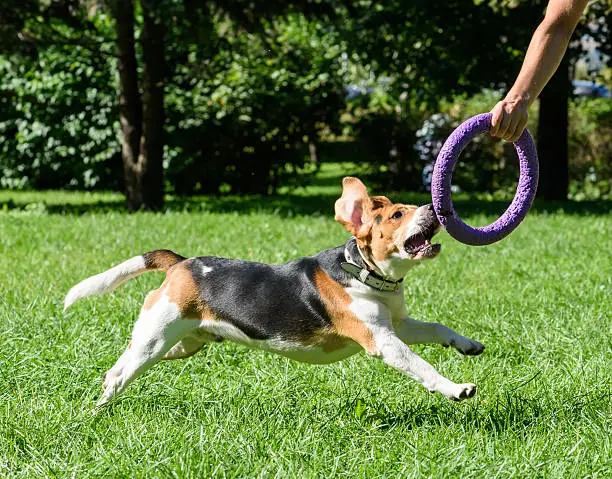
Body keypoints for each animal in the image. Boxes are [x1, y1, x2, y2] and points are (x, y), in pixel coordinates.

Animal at [64, 178, 486, 406]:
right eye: (398, 214)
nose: (434, 206)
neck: (365, 275)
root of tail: (181, 263)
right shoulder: (383, 341)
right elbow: (424, 367)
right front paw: (456, 388)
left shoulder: (398, 325)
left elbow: (436, 327)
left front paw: (467, 344)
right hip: (156, 336)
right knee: (117, 374)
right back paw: (98, 412)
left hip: (181, 345)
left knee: (125, 365)